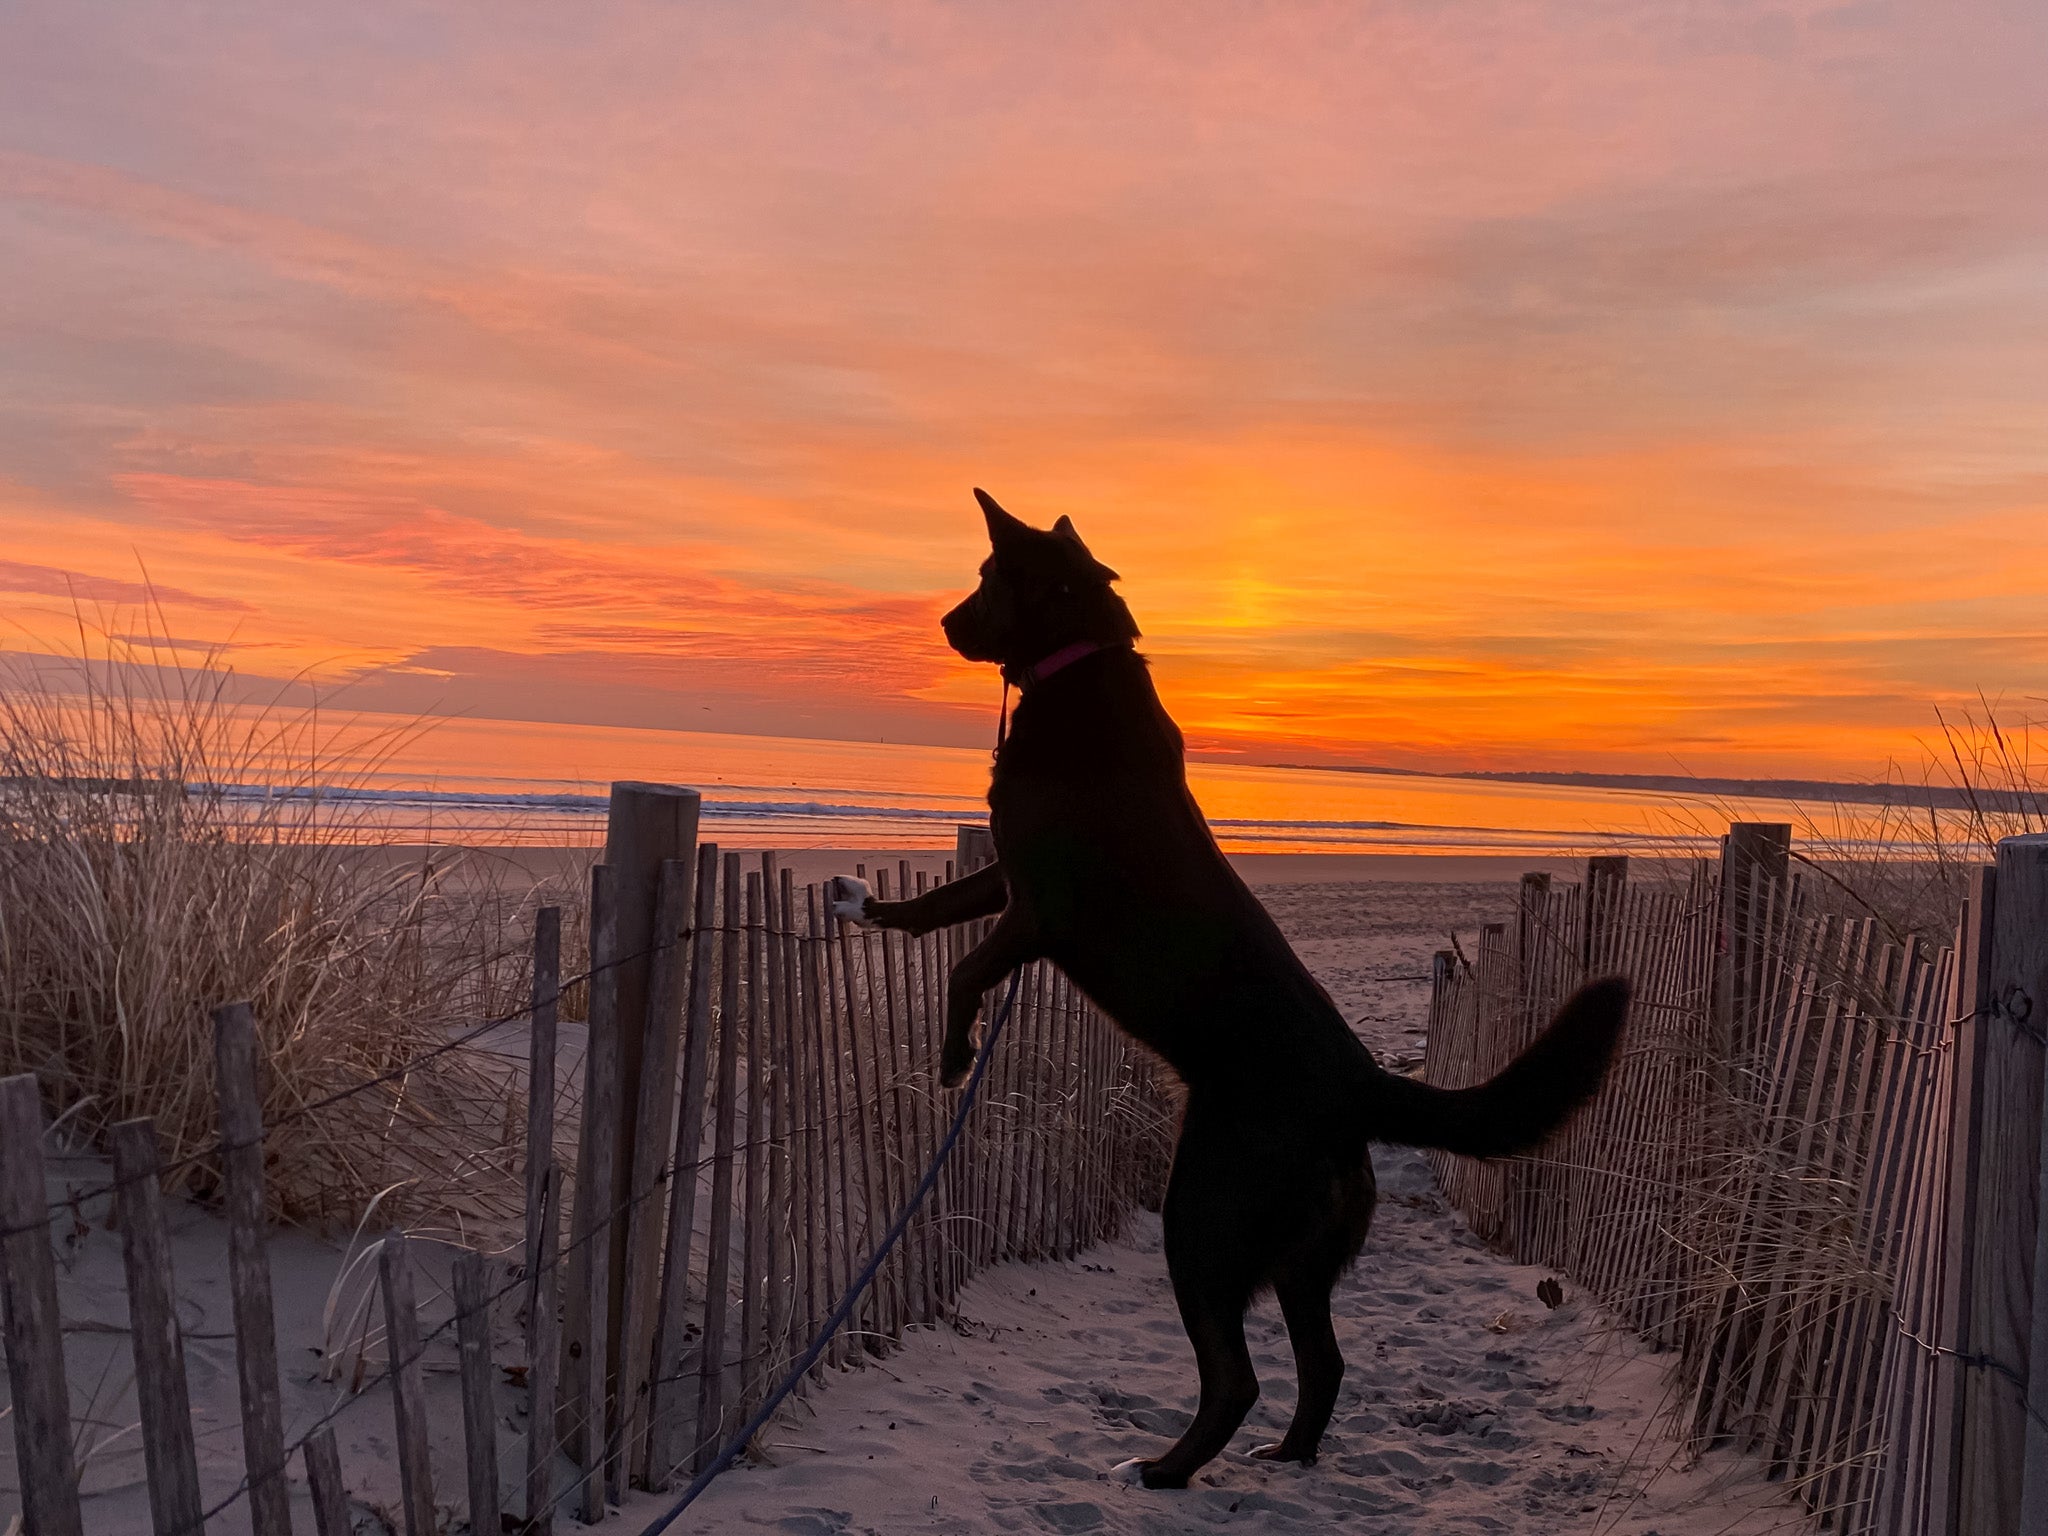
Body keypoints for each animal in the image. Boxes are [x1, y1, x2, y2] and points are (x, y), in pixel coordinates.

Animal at [831, 493, 1630, 1490]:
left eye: (984, 578)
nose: (942, 624)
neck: (1077, 667)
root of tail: (1358, 1084)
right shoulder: (1005, 882)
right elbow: (934, 912)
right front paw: (867, 908)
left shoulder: (1040, 910)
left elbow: (964, 967)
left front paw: (952, 1054)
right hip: (1299, 1256)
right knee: (1324, 1363)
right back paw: (1286, 1454)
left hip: (1203, 1219)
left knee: (1236, 1375)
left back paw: (1166, 1469)